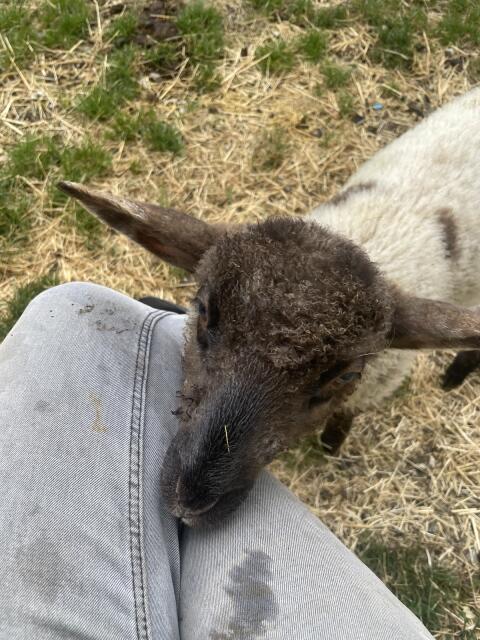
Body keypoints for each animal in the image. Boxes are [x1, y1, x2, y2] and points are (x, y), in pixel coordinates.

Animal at [58, 87, 480, 527]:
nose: (189, 503)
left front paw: (331, 443)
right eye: (203, 312)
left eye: (346, 376)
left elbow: (344, 417)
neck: (364, 235)